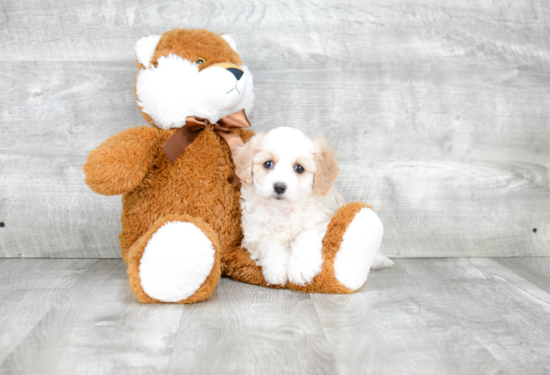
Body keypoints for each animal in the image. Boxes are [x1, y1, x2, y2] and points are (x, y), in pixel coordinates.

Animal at [235, 128, 394, 286]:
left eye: (299, 168)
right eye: (268, 164)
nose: (279, 186)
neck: (285, 209)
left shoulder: (319, 223)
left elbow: (304, 238)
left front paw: (301, 269)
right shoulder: (254, 232)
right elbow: (269, 243)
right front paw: (276, 270)